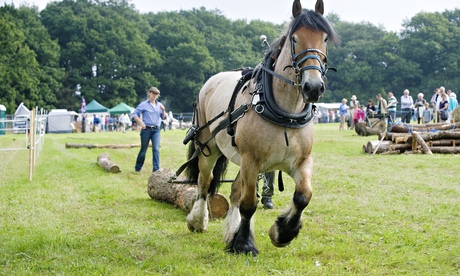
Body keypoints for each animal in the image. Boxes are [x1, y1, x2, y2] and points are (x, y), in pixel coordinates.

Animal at [182, 0, 338, 256]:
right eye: (295, 39)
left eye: (324, 39)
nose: (313, 87)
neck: (286, 114)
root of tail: (210, 82)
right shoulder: (251, 160)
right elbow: (249, 204)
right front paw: (244, 243)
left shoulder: (301, 161)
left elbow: (303, 196)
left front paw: (283, 232)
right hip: (209, 147)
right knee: (205, 182)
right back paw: (198, 221)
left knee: (235, 190)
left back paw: (231, 231)